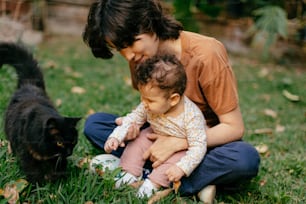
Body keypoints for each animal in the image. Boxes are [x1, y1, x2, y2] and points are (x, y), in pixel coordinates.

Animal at [0, 42, 81, 183]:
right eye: (59, 142)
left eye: (73, 141)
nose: (69, 152)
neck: (46, 152)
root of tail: (29, 83)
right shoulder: (26, 154)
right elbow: (33, 172)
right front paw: (38, 186)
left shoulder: (58, 158)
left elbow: (59, 168)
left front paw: (59, 182)